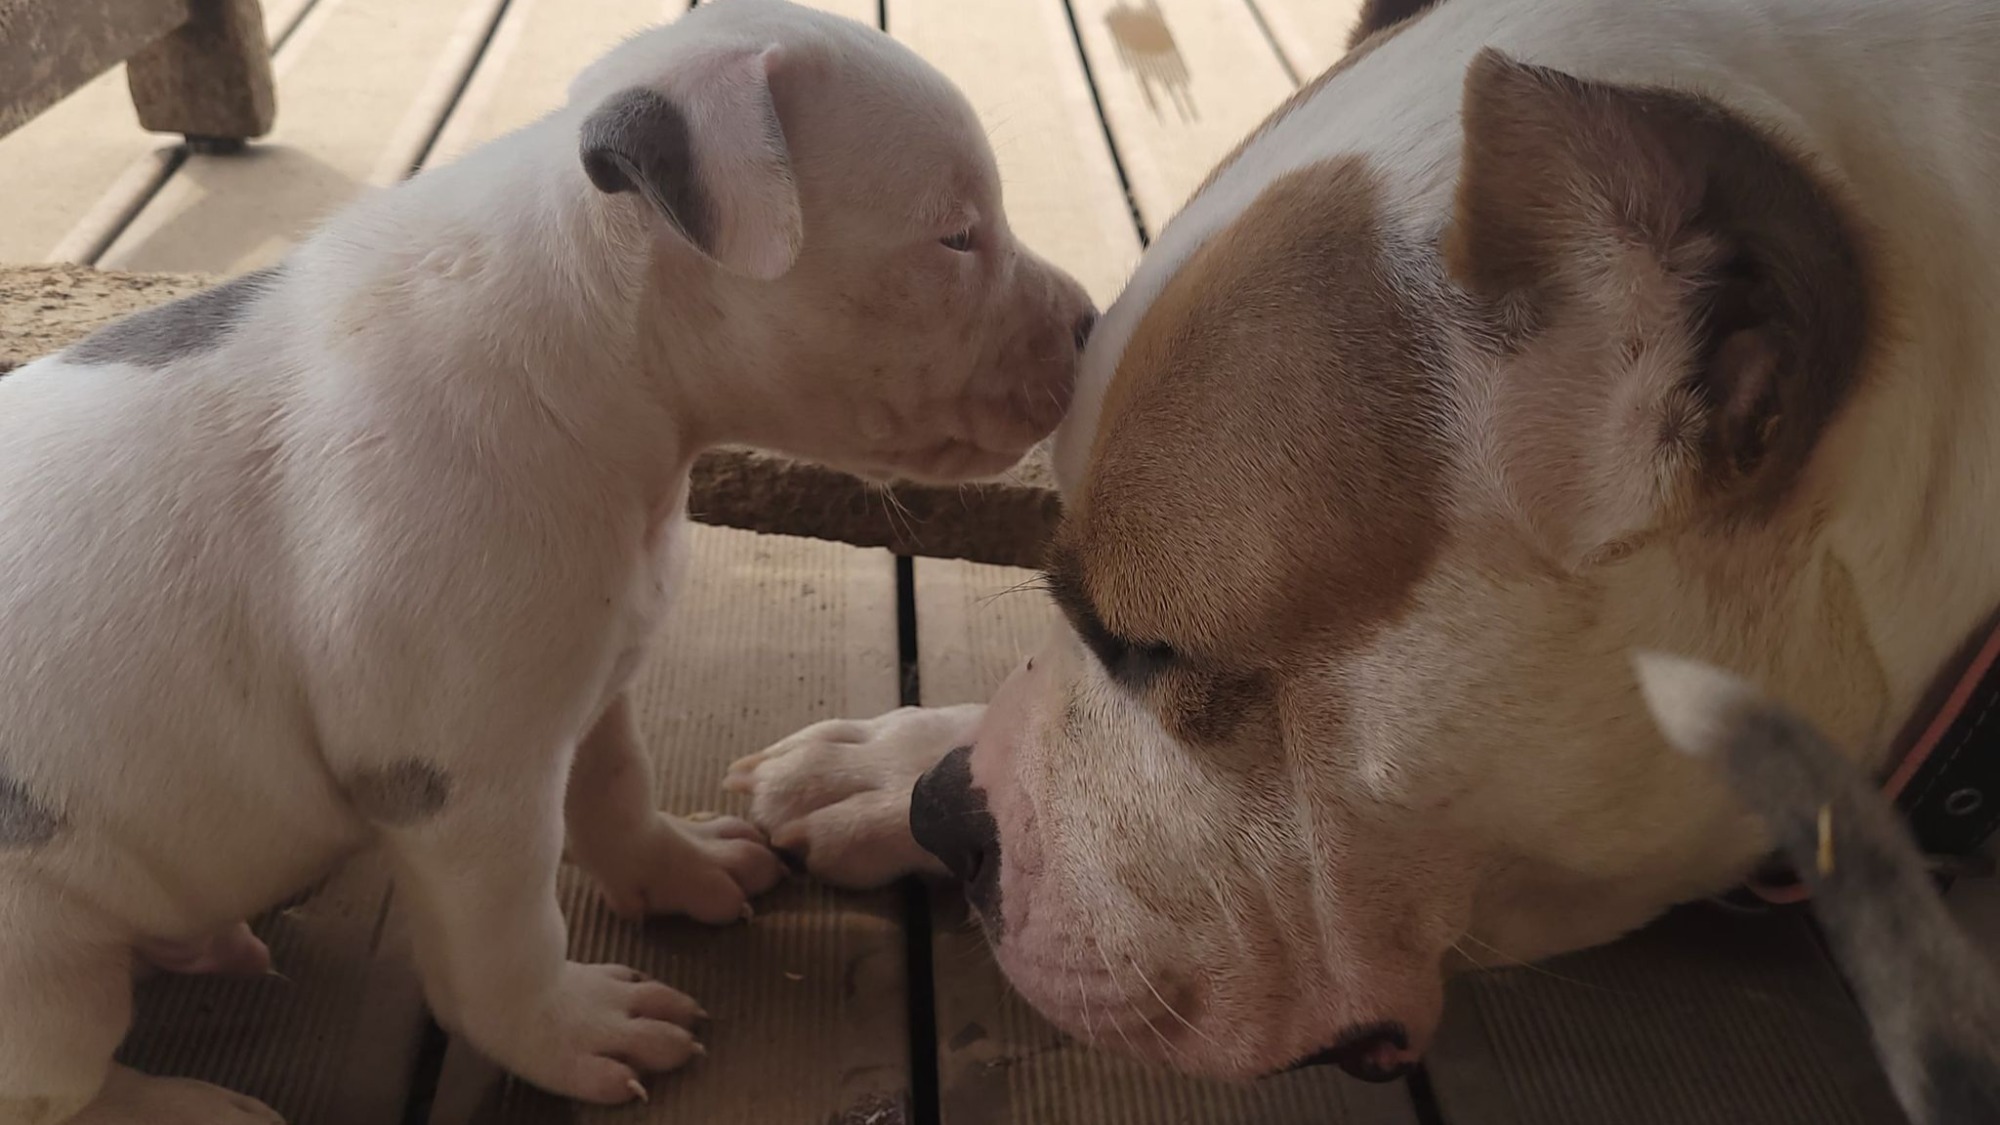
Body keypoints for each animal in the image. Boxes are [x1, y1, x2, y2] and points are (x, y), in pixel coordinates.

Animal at [0, 0, 1096, 1112]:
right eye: (955, 234)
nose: (1091, 324)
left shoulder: (587, 677)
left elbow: (614, 788)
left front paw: (684, 867)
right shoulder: (467, 781)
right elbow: (505, 941)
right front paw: (576, 1033)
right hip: (45, 985)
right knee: (67, 1088)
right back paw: (191, 1103)